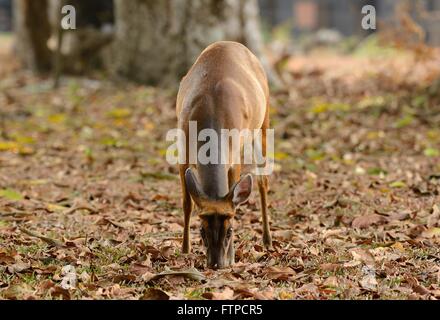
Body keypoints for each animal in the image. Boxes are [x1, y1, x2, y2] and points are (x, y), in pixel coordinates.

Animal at [175, 40, 272, 270]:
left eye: (230, 231)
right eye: (202, 231)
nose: (216, 264)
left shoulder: (233, 156)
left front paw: (233, 257)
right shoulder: (183, 151)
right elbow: (187, 203)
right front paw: (185, 249)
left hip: (264, 120)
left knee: (263, 180)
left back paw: (267, 240)